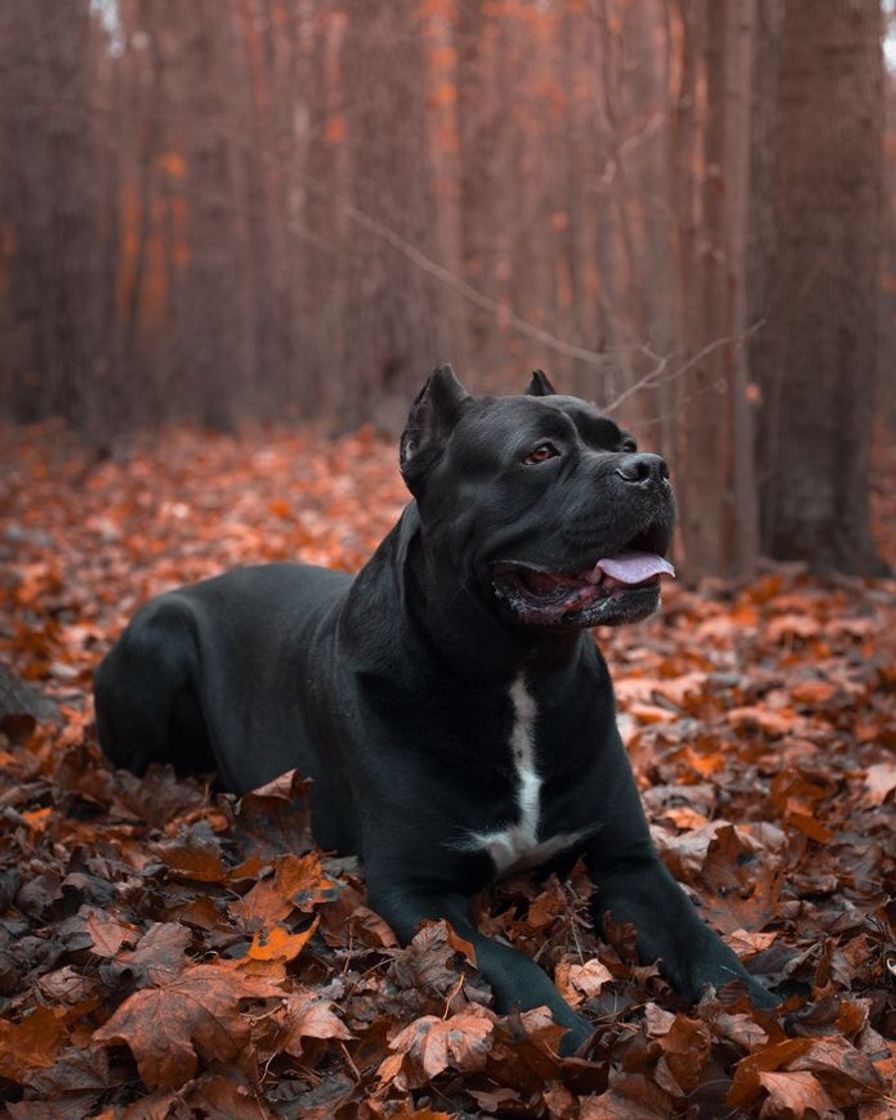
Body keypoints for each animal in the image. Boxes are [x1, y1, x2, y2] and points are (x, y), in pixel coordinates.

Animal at [94, 365, 775, 1048]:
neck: (519, 676)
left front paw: (764, 1011)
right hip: (160, 638)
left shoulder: (626, 860)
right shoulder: (415, 888)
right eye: (540, 453)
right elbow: (509, 961)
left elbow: (703, 943)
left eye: (626, 442)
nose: (651, 467)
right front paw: (564, 1032)